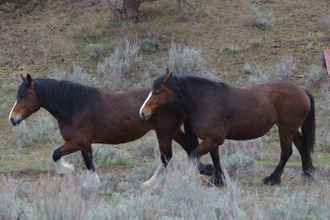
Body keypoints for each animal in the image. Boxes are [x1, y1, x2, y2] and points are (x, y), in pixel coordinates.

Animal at [9, 74, 213, 186]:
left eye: (24, 95)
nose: (12, 119)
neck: (74, 106)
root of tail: (175, 97)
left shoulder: (80, 142)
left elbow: (74, 159)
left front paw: (77, 175)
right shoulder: (79, 143)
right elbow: (63, 156)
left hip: (163, 132)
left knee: (167, 157)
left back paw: (149, 183)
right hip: (172, 131)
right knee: (188, 148)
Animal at [139, 70, 314, 186]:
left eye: (158, 91)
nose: (142, 112)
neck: (204, 100)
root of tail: (302, 90)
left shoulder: (213, 139)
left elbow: (194, 156)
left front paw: (209, 173)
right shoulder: (211, 140)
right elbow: (215, 159)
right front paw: (218, 180)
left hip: (285, 129)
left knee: (286, 152)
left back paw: (273, 179)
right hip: (290, 129)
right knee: (302, 146)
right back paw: (307, 174)